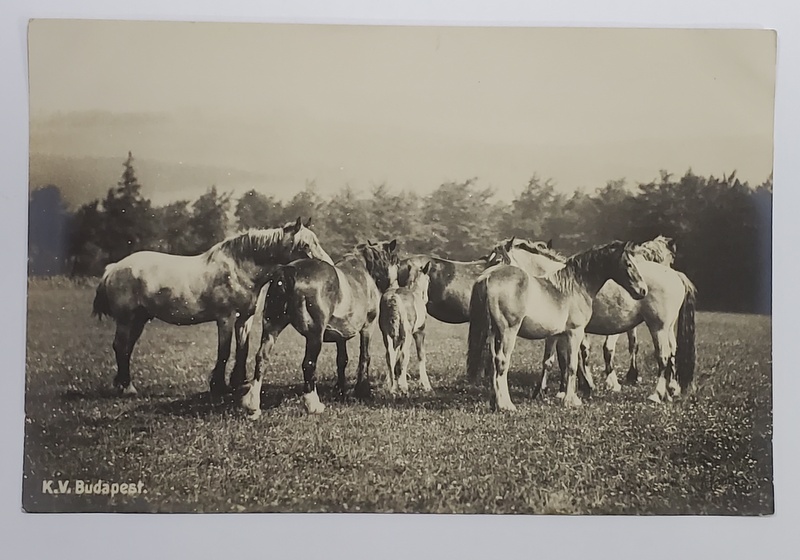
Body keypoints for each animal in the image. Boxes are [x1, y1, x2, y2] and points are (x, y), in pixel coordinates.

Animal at [238, 238, 400, 418]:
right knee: (308, 363)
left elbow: (342, 360)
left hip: (271, 327)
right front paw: (362, 390)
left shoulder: (340, 336)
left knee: (262, 358)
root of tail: (289, 271)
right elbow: (364, 357)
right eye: (396, 260)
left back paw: (253, 406)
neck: (365, 270)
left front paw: (341, 390)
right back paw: (313, 405)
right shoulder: (368, 326)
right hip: (314, 336)